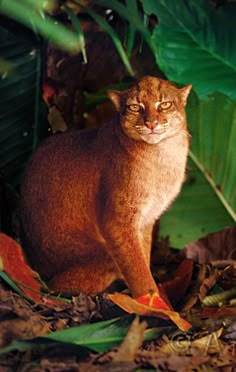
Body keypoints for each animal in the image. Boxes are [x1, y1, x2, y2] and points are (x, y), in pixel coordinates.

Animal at [20, 77, 192, 298]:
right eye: (135, 107)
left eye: (165, 104)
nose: (151, 123)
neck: (164, 154)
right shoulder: (118, 222)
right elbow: (137, 270)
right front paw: (152, 301)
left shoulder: (146, 219)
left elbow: (143, 256)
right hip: (101, 256)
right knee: (52, 287)